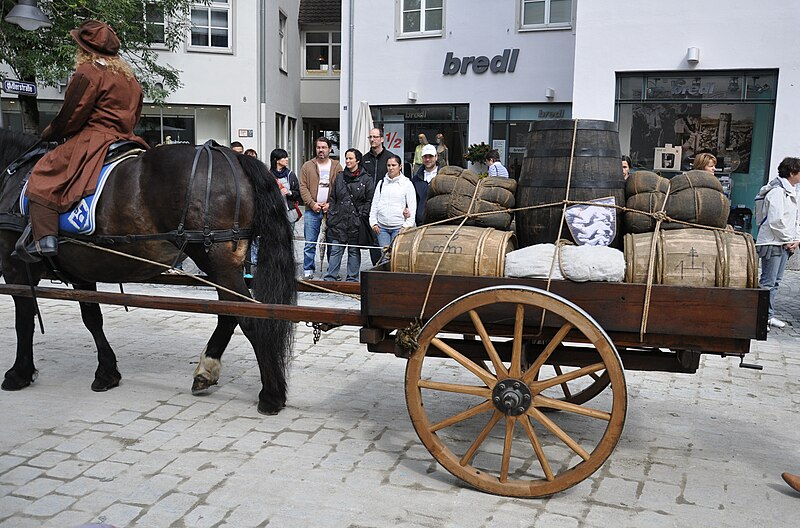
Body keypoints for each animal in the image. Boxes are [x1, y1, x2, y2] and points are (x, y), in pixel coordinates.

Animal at [0, 129, 296, 416]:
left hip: (218, 264)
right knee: (229, 314)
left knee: (249, 317)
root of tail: (232, 157)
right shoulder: (82, 271)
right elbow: (92, 319)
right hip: (223, 267)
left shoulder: (15, 270)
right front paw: (107, 371)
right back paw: (207, 371)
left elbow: (24, 320)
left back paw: (271, 394)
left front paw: (19, 372)